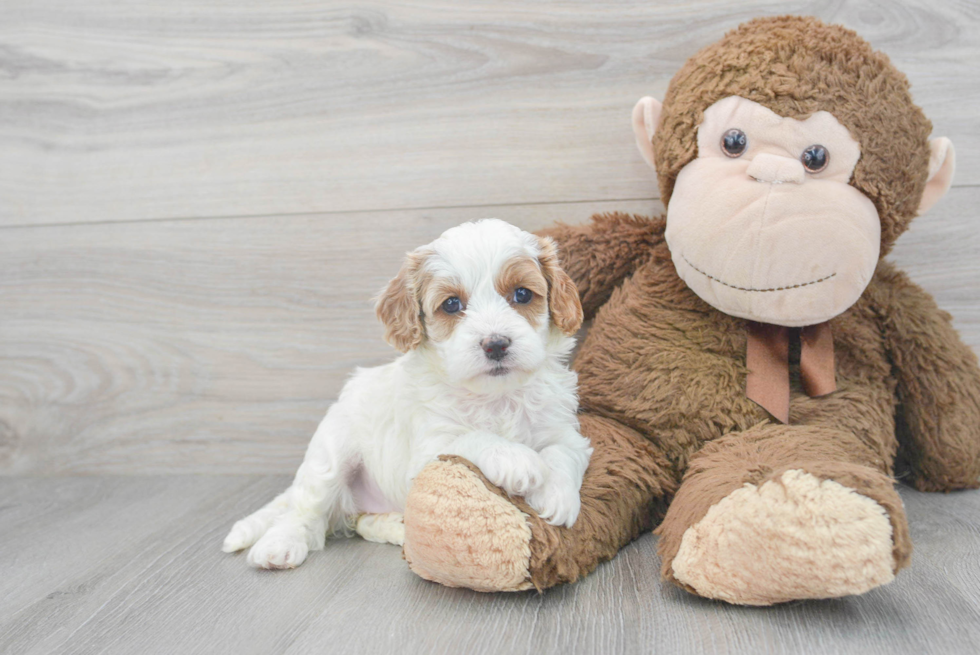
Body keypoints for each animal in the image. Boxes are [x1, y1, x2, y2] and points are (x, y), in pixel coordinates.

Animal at [222, 219, 588, 568]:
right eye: (452, 304)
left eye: (522, 294)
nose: (495, 344)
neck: (496, 397)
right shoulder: (428, 451)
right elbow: (472, 438)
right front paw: (516, 459)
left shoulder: (566, 431)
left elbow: (562, 452)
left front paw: (558, 495)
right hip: (332, 454)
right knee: (304, 511)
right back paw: (280, 544)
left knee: (360, 522)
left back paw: (398, 528)